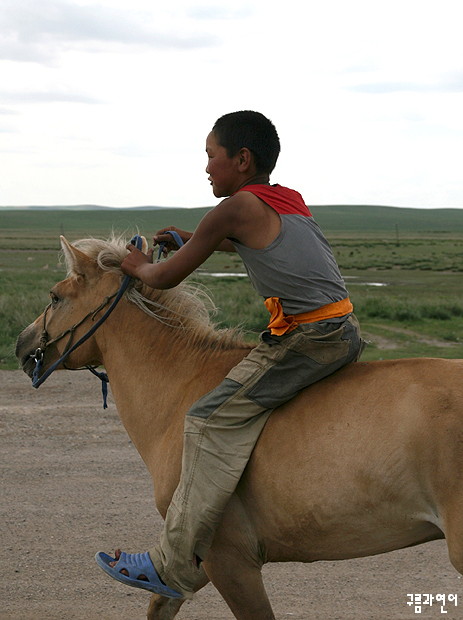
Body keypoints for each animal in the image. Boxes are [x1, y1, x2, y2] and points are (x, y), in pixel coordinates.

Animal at [16, 235, 463, 616]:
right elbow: (160, 601)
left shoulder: (228, 560)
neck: (182, 384)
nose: (21, 343)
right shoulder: (191, 563)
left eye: (55, 296)